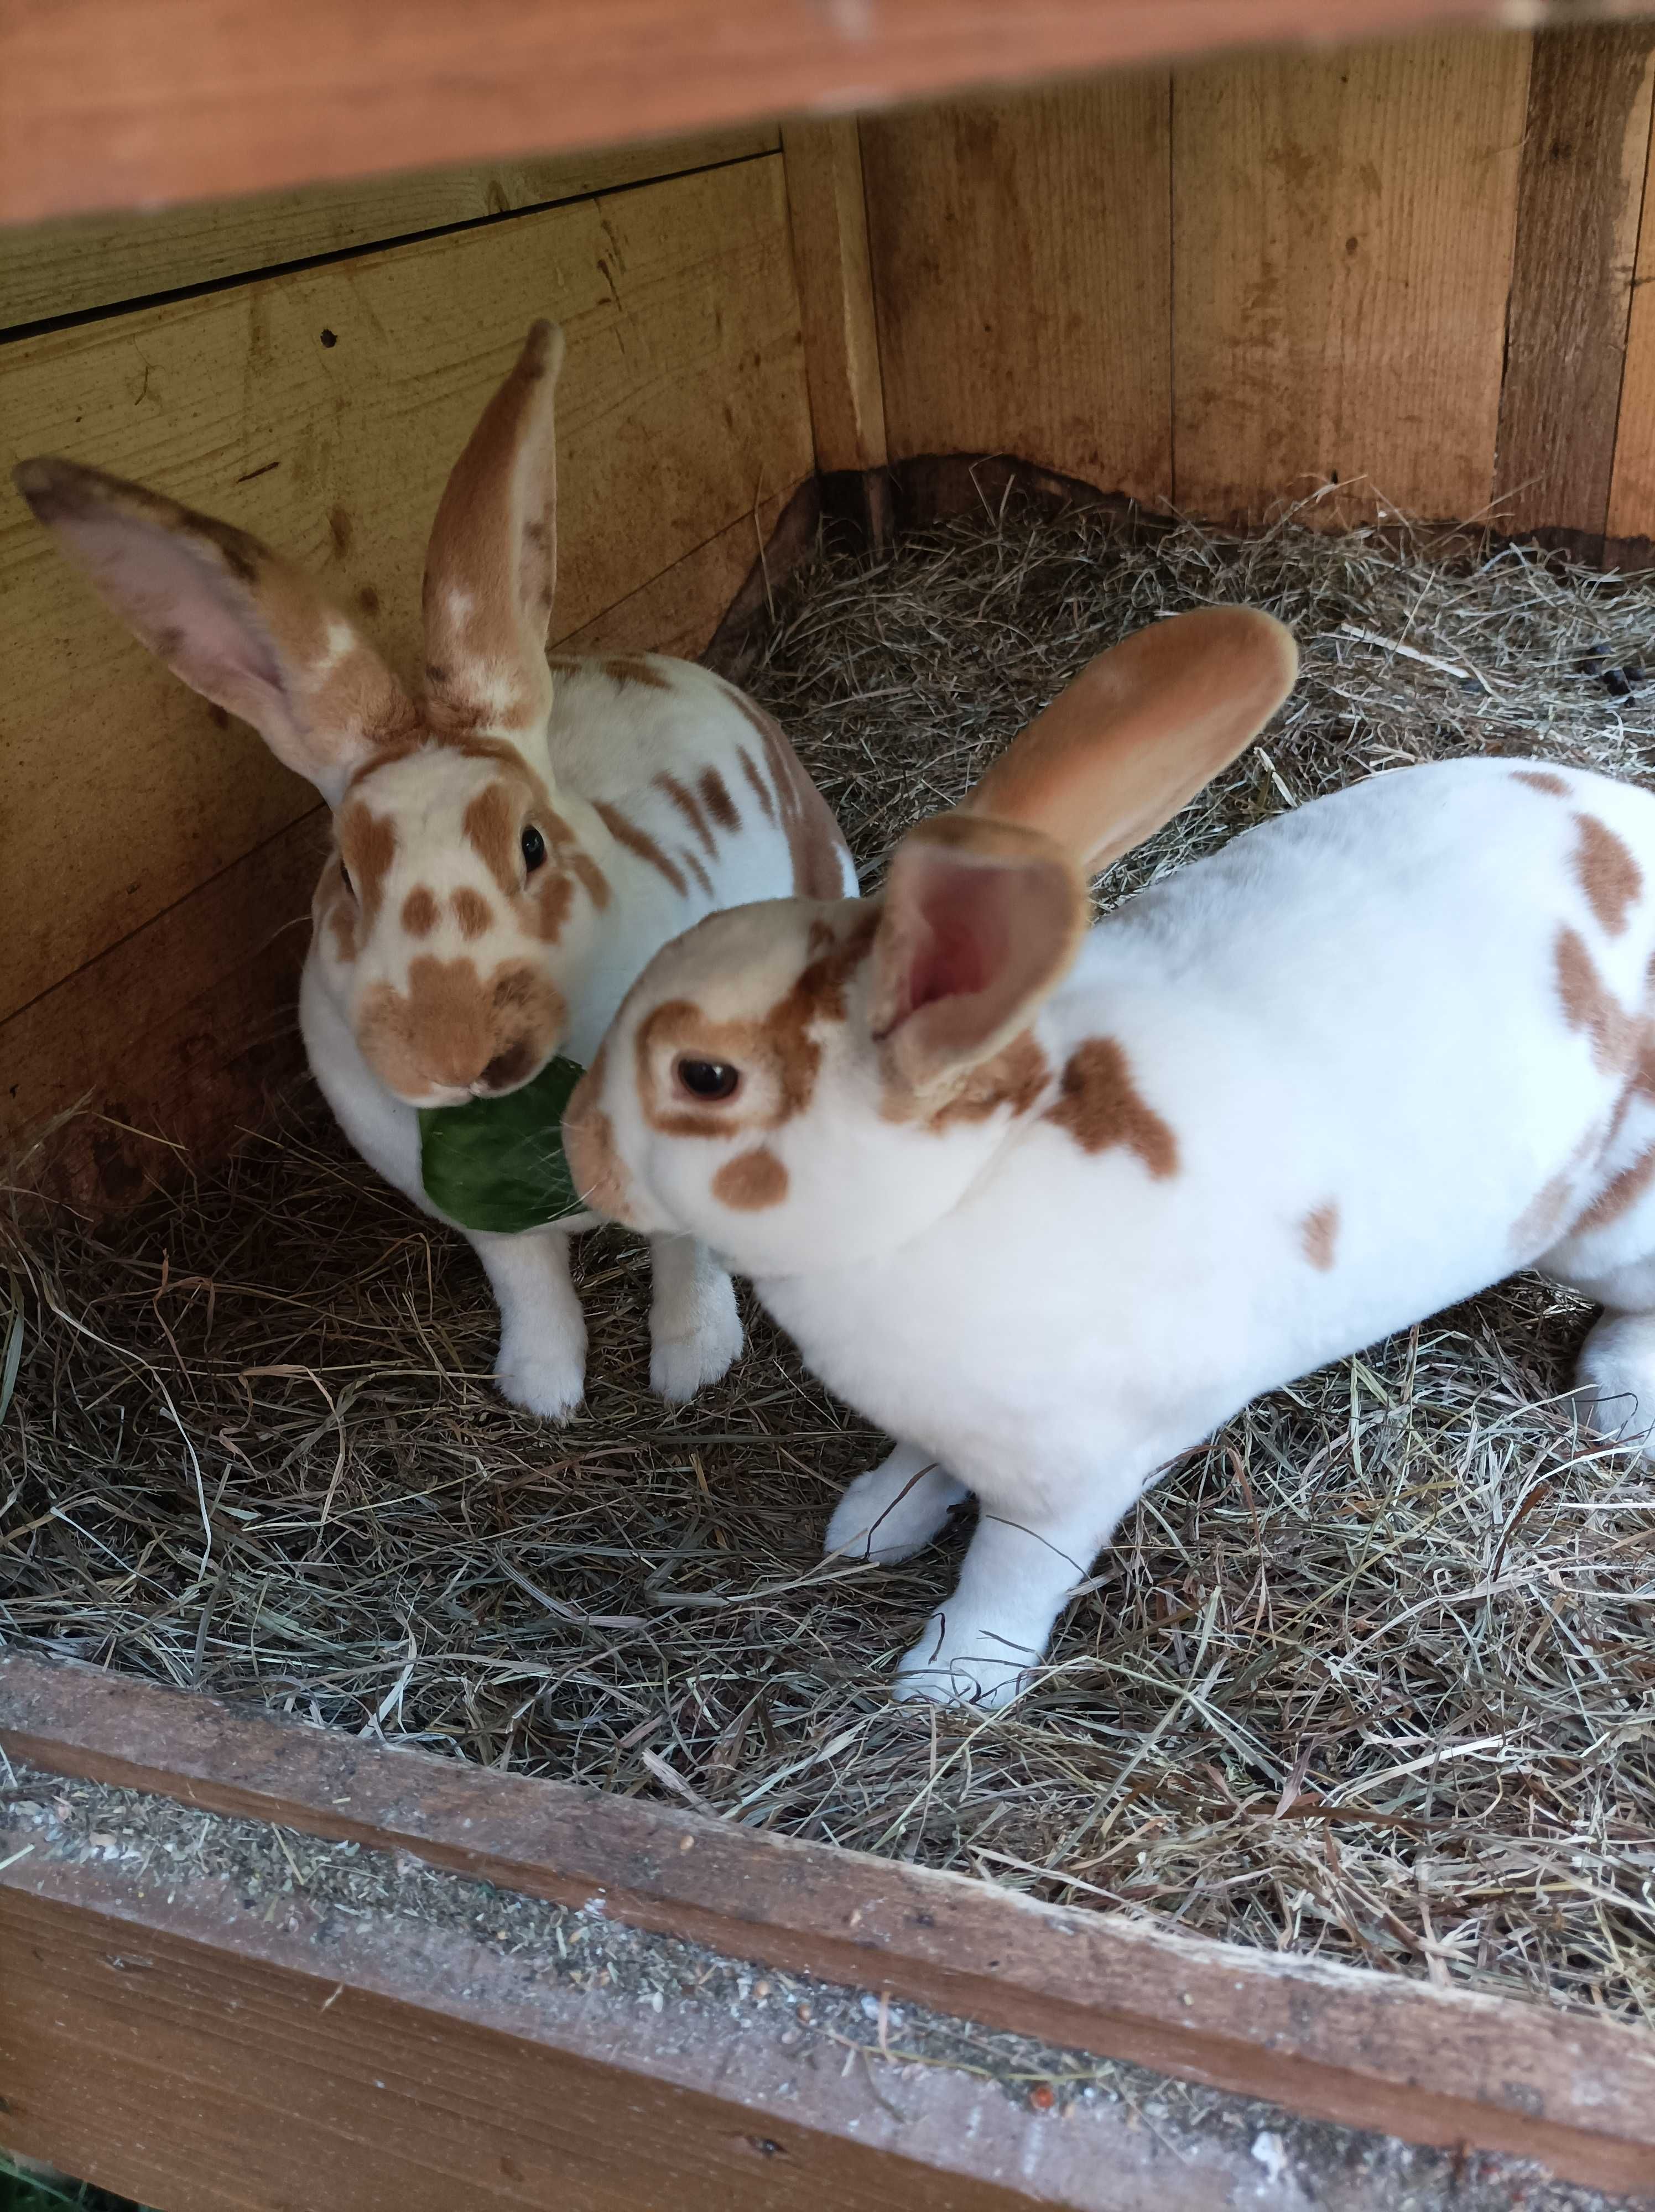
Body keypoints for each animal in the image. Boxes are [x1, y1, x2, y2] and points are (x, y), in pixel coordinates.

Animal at [19, 323, 854, 1416]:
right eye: (344, 878)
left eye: (531, 846)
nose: (454, 1054)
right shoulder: (480, 1218)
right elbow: (528, 1283)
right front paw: (542, 1392)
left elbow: (689, 1259)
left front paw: (691, 1368)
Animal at [562, 606, 1655, 1708]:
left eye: (705, 1077)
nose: (577, 1149)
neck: (959, 1191)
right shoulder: (946, 1423)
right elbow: (920, 1464)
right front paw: (872, 1523)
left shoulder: (1068, 1483)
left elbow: (1009, 1573)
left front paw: (951, 1681)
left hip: (1609, 1226)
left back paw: (1617, 1400)